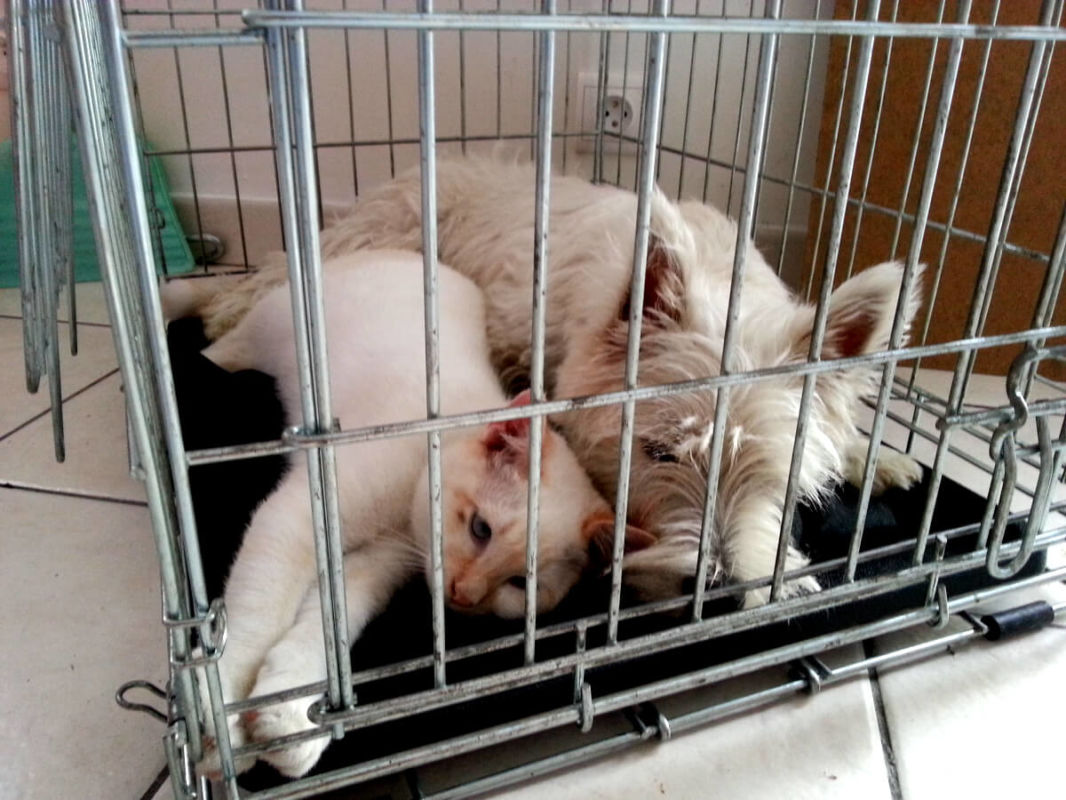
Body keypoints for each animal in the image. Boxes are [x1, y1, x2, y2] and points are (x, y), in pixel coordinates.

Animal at [168, 156, 925, 605]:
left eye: (777, 473)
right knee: (257, 285)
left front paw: (877, 456)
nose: (712, 587)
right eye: (658, 453)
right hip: (362, 243)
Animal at [186, 251, 643, 785]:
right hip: (270, 328)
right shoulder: (297, 517)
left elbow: (333, 618)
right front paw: (223, 721)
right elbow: (259, 608)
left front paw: (291, 716)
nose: (462, 594)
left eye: (518, 585)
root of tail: (398, 252)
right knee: (219, 347)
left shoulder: (383, 559)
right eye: (481, 529)